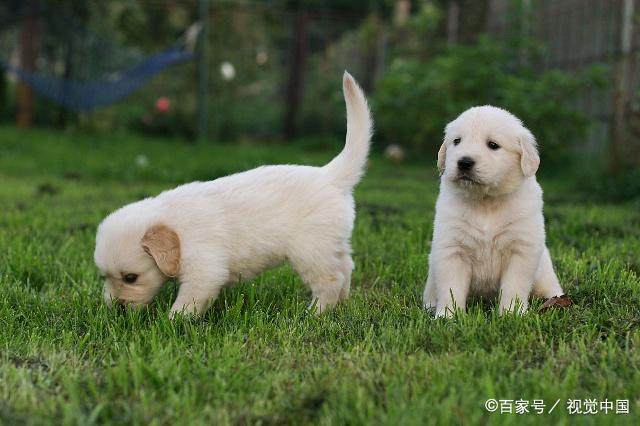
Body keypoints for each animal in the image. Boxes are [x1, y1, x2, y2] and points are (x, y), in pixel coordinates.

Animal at [96, 72, 376, 316]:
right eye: (104, 277)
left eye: (130, 277)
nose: (116, 309)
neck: (176, 229)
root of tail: (330, 174)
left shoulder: (204, 269)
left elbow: (188, 301)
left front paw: (172, 322)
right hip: (332, 244)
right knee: (346, 268)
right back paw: (342, 304)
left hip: (311, 251)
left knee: (330, 280)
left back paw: (315, 314)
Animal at [424, 106, 564, 316]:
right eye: (456, 141)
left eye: (493, 145)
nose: (464, 162)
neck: (486, 202)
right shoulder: (452, 249)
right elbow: (451, 287)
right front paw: (448, 316)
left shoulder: (521, 249)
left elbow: (514, 286)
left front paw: (512, 314)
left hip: (544, 273)